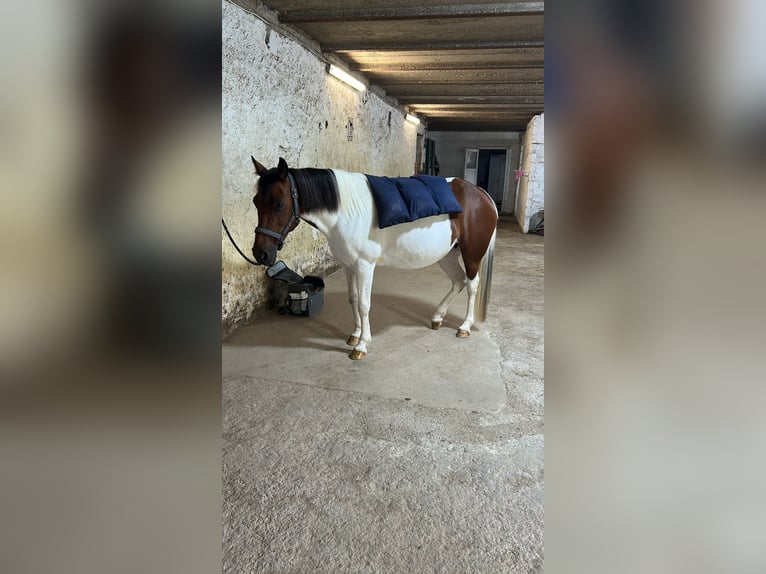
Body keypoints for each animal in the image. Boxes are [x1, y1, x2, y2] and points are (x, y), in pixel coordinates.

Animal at [250, 156, 498, 360]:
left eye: (279, 203)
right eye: (255, 202)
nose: (260, 253)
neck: (345, 212)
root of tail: (482, 194)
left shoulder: (364, 265)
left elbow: (364, 304)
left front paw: (361, 346)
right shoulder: (348, 265)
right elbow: (353, 299)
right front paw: (355, 335)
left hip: (471, 255)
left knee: (471, 285)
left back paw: (464, 327)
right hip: (447, 255)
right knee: (458, 281)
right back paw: (437, 317)